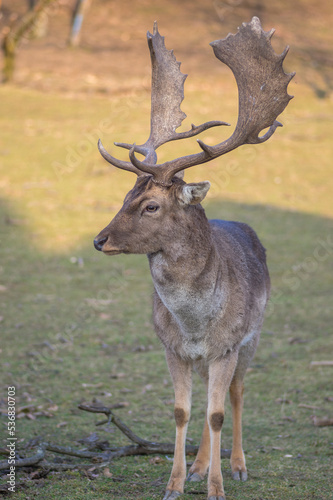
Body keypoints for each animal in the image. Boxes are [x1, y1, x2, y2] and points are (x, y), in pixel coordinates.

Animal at [93, 17, 294, 498]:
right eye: (125, 197)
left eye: (151, 206)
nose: (99, 240)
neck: (196, 322)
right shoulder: (173, 347)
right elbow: (184, 411)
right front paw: (176, 483)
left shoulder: (228, 345)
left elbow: (218, 412)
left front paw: (218, 487)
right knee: (207, 399)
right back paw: (202, 464)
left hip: (253, 337)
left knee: (235, 395)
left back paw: (236, 465)